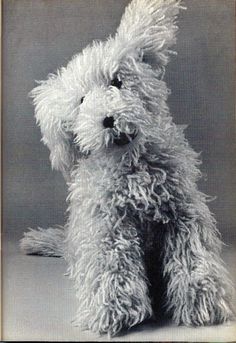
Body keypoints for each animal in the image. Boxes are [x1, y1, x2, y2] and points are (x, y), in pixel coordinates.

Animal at [20, 0, 234, 338]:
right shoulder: (109, 222)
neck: (135, 169)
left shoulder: (182, 213)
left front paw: (202, 300)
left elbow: (192, 254)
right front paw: (113, 310)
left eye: (117, 81)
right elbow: (114, 261)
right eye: (82, 101)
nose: (108, 119)